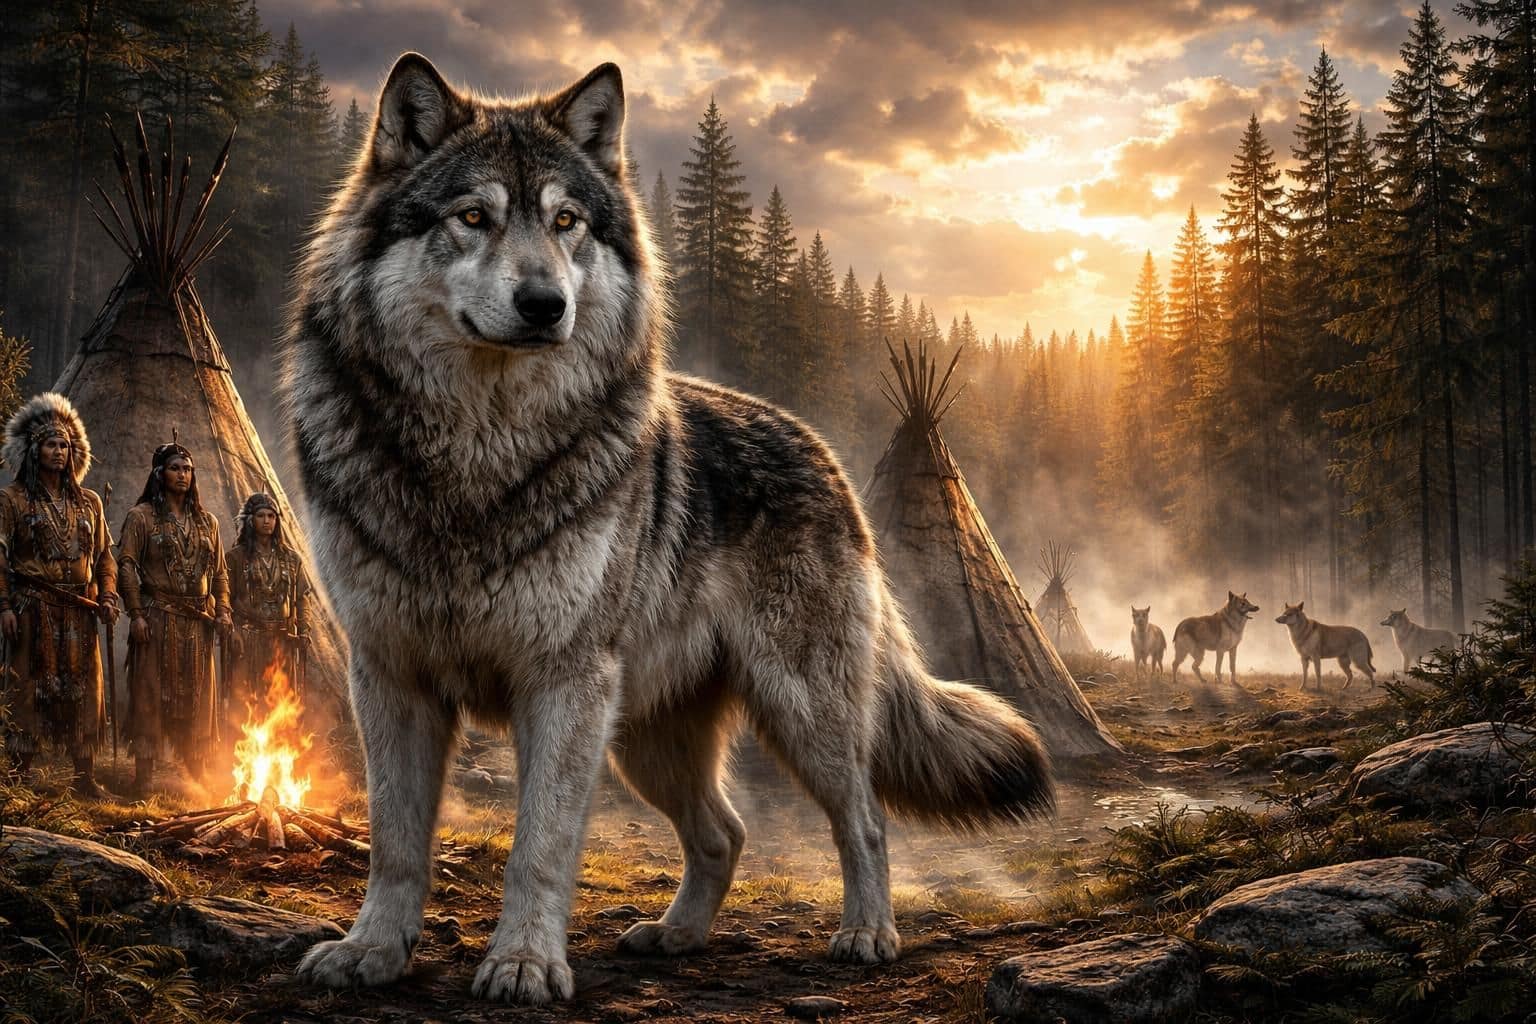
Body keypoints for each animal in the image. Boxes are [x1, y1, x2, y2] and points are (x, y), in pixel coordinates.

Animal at [281, 54, 1052, 1007]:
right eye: (473, 217)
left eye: (566, 222)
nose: (545, 304)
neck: (476, 457)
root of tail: (819, 449)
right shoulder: (389, 674)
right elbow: (394, 842)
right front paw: (373, 951)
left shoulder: (563, 682)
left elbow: (539, 847)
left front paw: (525, 962)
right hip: (645, 740)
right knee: (726, 832)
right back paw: (679, 934)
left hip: (797, 712)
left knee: (865, 818)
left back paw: (867, 934)